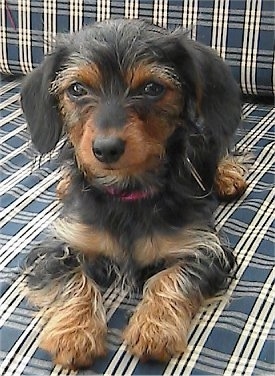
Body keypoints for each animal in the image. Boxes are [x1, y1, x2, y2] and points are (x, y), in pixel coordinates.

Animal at [21, 19, 249, 368]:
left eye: (152, 88)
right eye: (77, 89)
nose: (106, 149)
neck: (125, 192)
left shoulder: (204, 247)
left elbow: (170, 278)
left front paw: (154, 329)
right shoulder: (56, 246)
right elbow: (72, 280)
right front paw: (74, 333)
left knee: (222, 146)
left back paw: (226, 175)